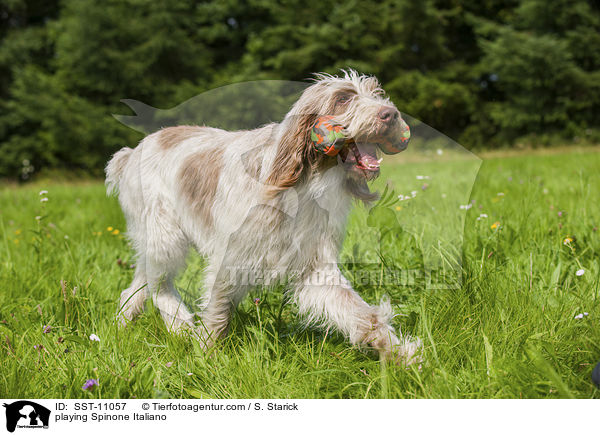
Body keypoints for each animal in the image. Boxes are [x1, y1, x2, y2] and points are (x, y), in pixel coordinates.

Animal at [104, 70, 422, 364]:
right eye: (343, 98)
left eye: (377, 93)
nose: (391, 114)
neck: (302, 184)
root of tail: (132, 152)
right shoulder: (230, 258)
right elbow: (218, 310)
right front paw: (207, 355)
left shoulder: (314, 266)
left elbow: (362, 314)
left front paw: (400, 354)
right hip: (165, 237)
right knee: (159, 286)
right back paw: (180, 326)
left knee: (140, 282)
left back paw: (124, 323)